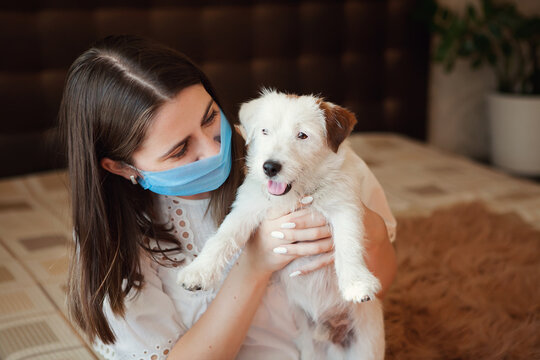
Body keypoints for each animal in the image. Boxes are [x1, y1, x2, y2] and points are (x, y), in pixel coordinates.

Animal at [179, 88, 386, 358]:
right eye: (265, 131)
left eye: (302, 135)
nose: (269, 167)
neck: (298, 194)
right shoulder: (246, 207)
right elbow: (223, 238)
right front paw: (198, 272)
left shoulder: (344, 208)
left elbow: (348, 244)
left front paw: (356, 283)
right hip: (310, 349)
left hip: (364, 346)